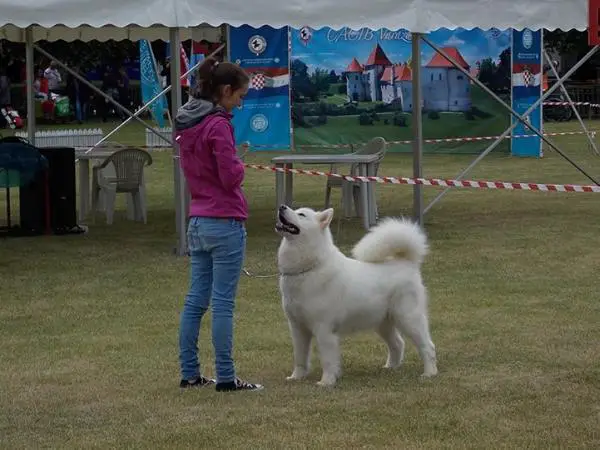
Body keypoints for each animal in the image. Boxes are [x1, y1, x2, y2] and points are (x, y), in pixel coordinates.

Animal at [276, 206, 436, 384]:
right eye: (295, 209)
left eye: (301, 214)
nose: (282, 207)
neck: (309, 268)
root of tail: (406, 263)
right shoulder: (297, 328)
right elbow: (299, 357)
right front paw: (296, 377)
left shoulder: (324, 329)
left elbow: (328, 360)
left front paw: (326, 382)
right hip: (383, 323)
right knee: (398, 343)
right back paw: (390, 367)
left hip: (408, 319)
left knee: (427, 346)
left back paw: (429, 373)